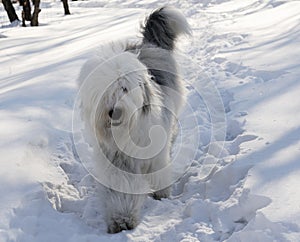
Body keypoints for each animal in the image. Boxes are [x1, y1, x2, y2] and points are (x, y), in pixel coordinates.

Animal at [77, 6, 190, 233]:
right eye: (104, 91)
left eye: (124, 88)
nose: (114, 111)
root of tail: (145, 44)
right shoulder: (115, 159)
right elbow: (122, 184)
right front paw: (121, 219)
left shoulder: (153, 147)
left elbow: (157, 169)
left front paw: (161, 193)